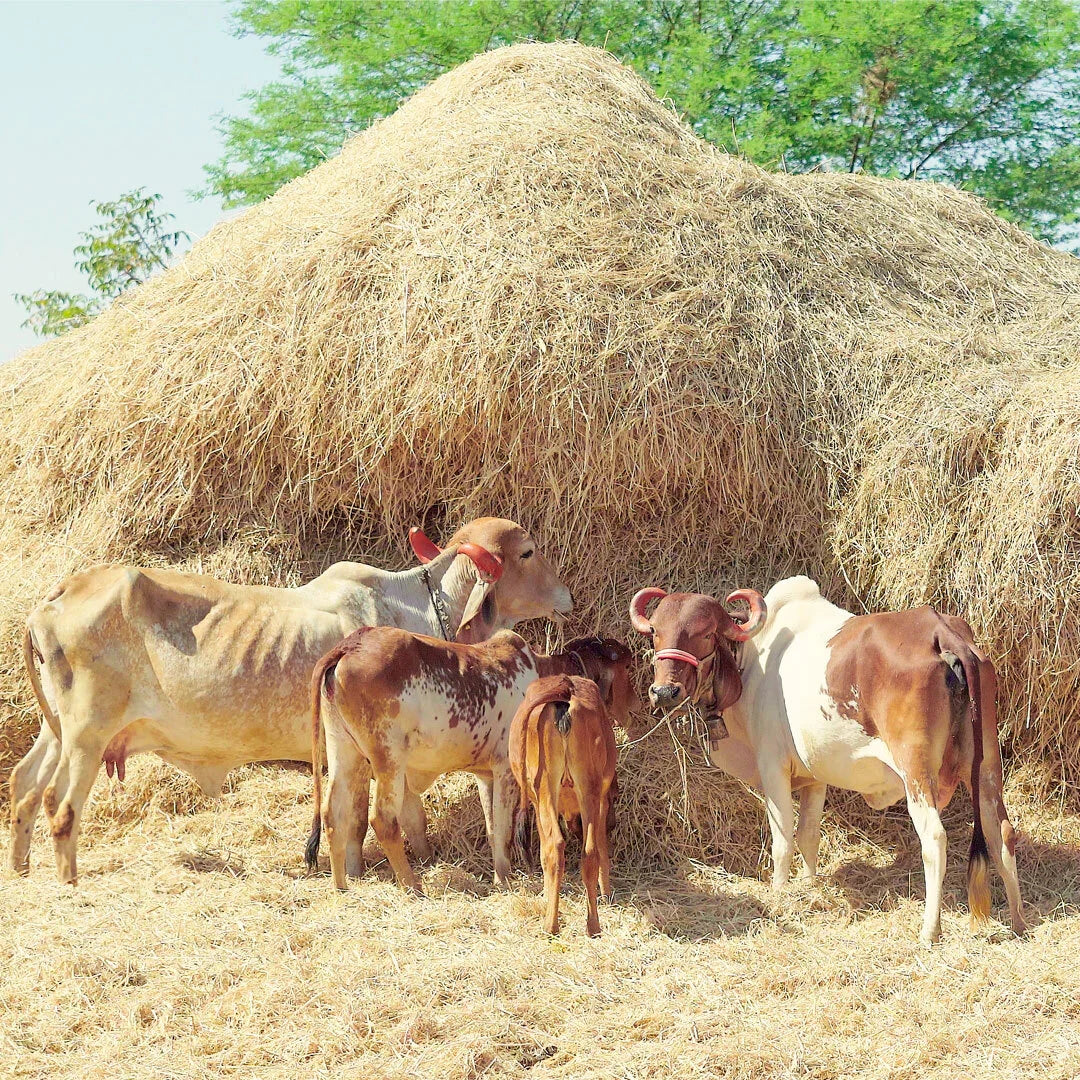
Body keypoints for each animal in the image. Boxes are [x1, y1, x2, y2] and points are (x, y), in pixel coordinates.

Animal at [12, 518, 570, 881]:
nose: (566, 596)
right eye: (527, 552)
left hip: (57, 731)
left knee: (24, 786)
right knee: (59, 804)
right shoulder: (369, 755)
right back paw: (67, 881)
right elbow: (357, 819)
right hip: (87, 734)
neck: (413, 607)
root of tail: (55, 596)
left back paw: (20, 867)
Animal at [306, 630, 630, 894]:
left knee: (333, 814)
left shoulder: (486, 776)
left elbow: (492, 828)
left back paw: (341, 886)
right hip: (389, 759)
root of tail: (350, 645)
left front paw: (501, 875)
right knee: (383, 821)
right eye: (626, 668)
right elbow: (504, 829)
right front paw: (505, 880)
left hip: (343, 751)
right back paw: (413, 886)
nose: (611, 824)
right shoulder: (505, 771)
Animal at [509, 673, 622, 937]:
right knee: (589, 851)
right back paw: (593, 925)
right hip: (588, 787)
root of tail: (566, 689)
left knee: (554, 847)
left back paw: (550, 925)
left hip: (545, 789)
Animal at [635, 578, 1023, 941]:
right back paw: (1018, 920)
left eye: (705, 633)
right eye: (655, 632)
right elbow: (809, 835)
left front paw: (780, 895)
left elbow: (783, 842)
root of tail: (941, 633)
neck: (752, 659)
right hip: (986, 767)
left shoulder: (772, 767)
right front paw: (810, 887)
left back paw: (930, 929)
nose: (664, 691)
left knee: (935, 839)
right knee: (1001, 832)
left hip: (915, 771)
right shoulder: (814, 776)